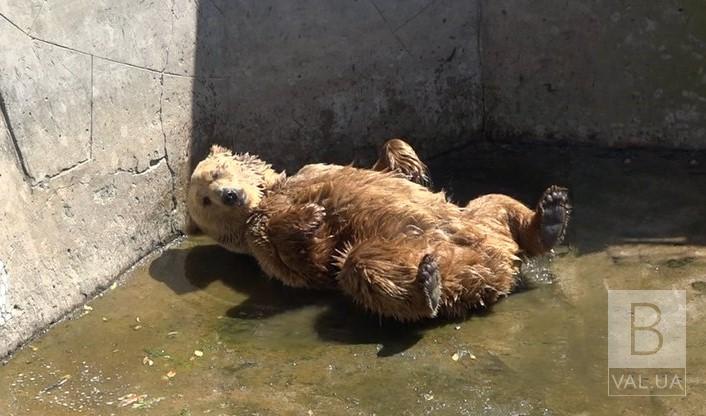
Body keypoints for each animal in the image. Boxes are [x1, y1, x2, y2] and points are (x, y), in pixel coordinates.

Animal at [186, 140, 568, 322]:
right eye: (205, 199)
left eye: (218, 172)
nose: (231, 195)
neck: (269, 195)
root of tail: (498, 270)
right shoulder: (262, 240)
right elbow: (306, 262)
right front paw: (311, 214)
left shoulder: (311, 169)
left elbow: (387, 169)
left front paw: (404, 155)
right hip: (396, 252)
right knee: (361, 267)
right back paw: (427, 284)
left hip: (478, 220)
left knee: (497, 202)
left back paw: (551, 213)